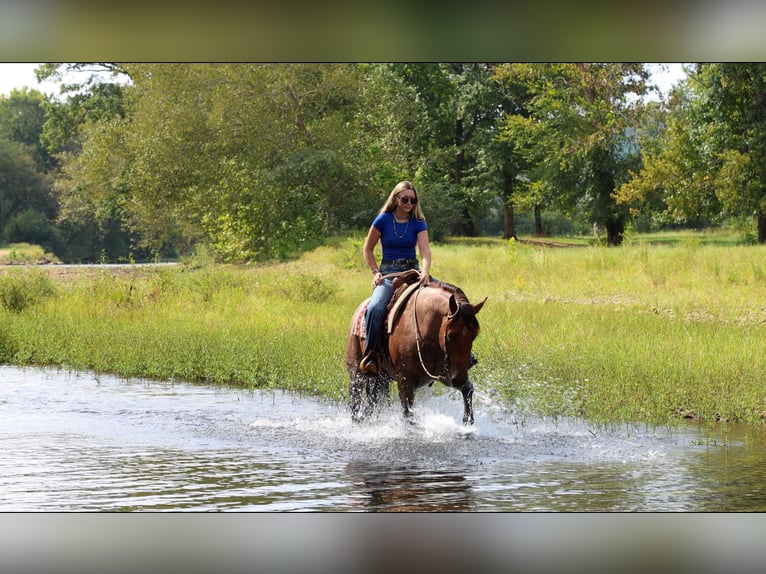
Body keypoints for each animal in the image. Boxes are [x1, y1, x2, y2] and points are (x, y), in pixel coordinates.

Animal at [345, 276, 486, 425]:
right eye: (450, 335)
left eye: (474, 335)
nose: (460, 379)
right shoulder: (405, 380)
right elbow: (408, 414)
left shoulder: (446, 374)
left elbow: (468, 388)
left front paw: (467, 420)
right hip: (356, 373)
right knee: (355, 401)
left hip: (380, 378)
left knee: (372, 402)